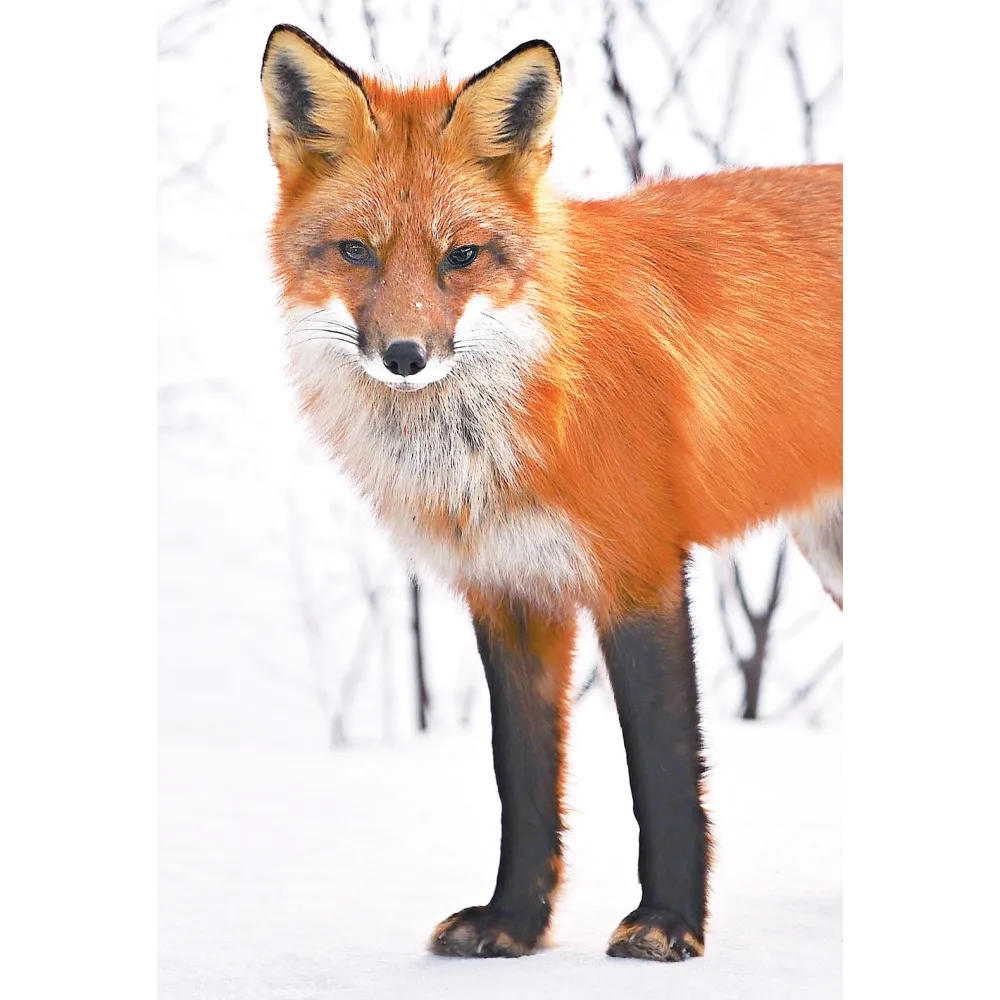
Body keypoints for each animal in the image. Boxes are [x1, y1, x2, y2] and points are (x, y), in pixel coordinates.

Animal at [261, 24, 845, 963]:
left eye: (462, 256)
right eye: (357, 252)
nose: (405, 356)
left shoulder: (639, 572)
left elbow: (664, 772)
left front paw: (668, 923)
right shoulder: (508, 591)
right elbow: (524, 784)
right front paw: (513, 925)